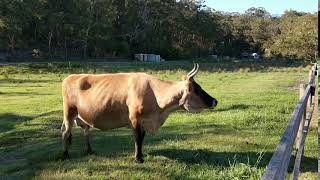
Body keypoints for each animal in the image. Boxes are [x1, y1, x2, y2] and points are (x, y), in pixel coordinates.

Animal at [60, 63, 218, 163]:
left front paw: (140, 155)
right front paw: (138, 158)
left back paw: (89, 150)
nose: (215, 101)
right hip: (68, 112)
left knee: (85, 132)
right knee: (66, 133)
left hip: (83, 117)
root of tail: (70, 76)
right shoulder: (134, 118)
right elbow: (137, 138)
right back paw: (65, 154)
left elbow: (141, 138)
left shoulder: (144, 121)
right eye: (197, 89)